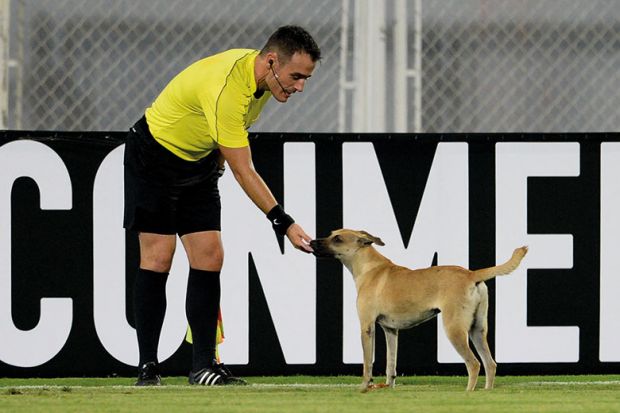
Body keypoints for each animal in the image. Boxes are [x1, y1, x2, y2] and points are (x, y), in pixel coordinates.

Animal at [310, 229, 528, 392]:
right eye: (332, 234)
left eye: (337, 239)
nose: (312, 242)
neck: (369, 268)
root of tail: (471, 274)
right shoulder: (390, 330)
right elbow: (391, 363)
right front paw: (388, 386)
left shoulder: (367, 326)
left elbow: (367, 362)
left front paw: (365, 387)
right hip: (477, 330)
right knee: (490, 364)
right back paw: (486, 392)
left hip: (455, 329)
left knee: (474, 364)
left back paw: (468, 393)